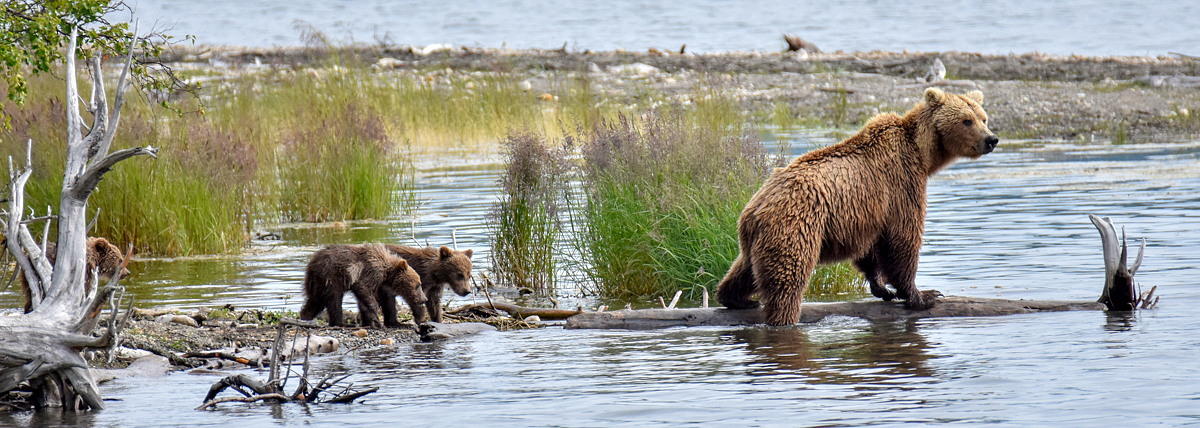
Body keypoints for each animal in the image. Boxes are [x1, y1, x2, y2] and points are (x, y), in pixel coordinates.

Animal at [715, 86, 998, 323]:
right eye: (966, 120)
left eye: (983, 117)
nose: (992, 139)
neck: (923, 154)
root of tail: (755, 209)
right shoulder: (901, 184)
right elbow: (903, 238)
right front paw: (923, 295)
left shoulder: (866, 212)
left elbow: (871, 248)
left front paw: (882, 288)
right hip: (795, 226)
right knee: (787, 280)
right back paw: (782, 317)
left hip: (759, 238)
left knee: (744, 269)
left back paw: (736, 298)